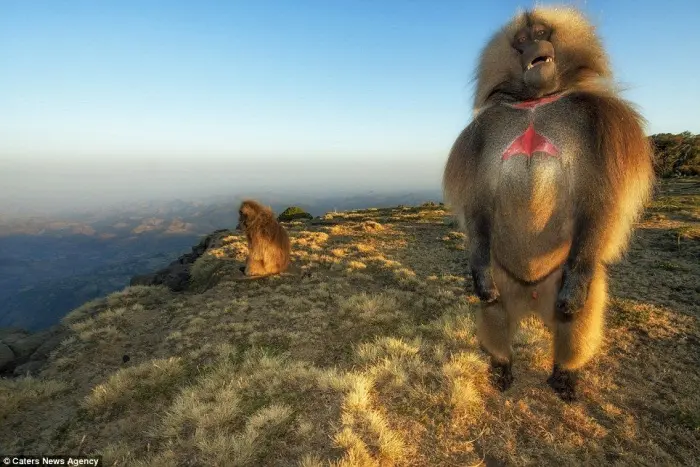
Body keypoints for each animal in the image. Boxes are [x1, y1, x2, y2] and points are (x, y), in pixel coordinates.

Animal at [442, 6, 655, 401]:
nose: (533, 48)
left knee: (577, 319)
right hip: (503, 275)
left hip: (563, 277)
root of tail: (532, 296)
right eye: (522, 40)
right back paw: (502, 365)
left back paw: (566, 374)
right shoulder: (483, 132)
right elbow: (478, 204)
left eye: (541, 32)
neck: (536, 102)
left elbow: (599, 202)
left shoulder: (600, 121)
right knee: (494, 309)